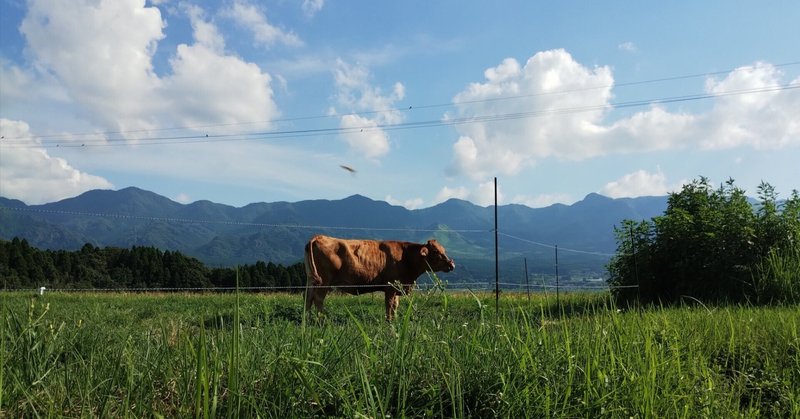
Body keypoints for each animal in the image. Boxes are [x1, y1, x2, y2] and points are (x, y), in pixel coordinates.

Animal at [304, 235, 456, 320]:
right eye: (435, 251)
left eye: (443, 250)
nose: (451, 264)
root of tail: (319, 236)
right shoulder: (390, 287)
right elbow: (389, 306)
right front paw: (389, 323)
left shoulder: (397, 288)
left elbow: (395, 306)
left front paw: (395, 321)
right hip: (324, 281)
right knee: (318, 299)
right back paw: (322, 321)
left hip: (311, 279)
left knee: (308, 299)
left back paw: (307, 321)